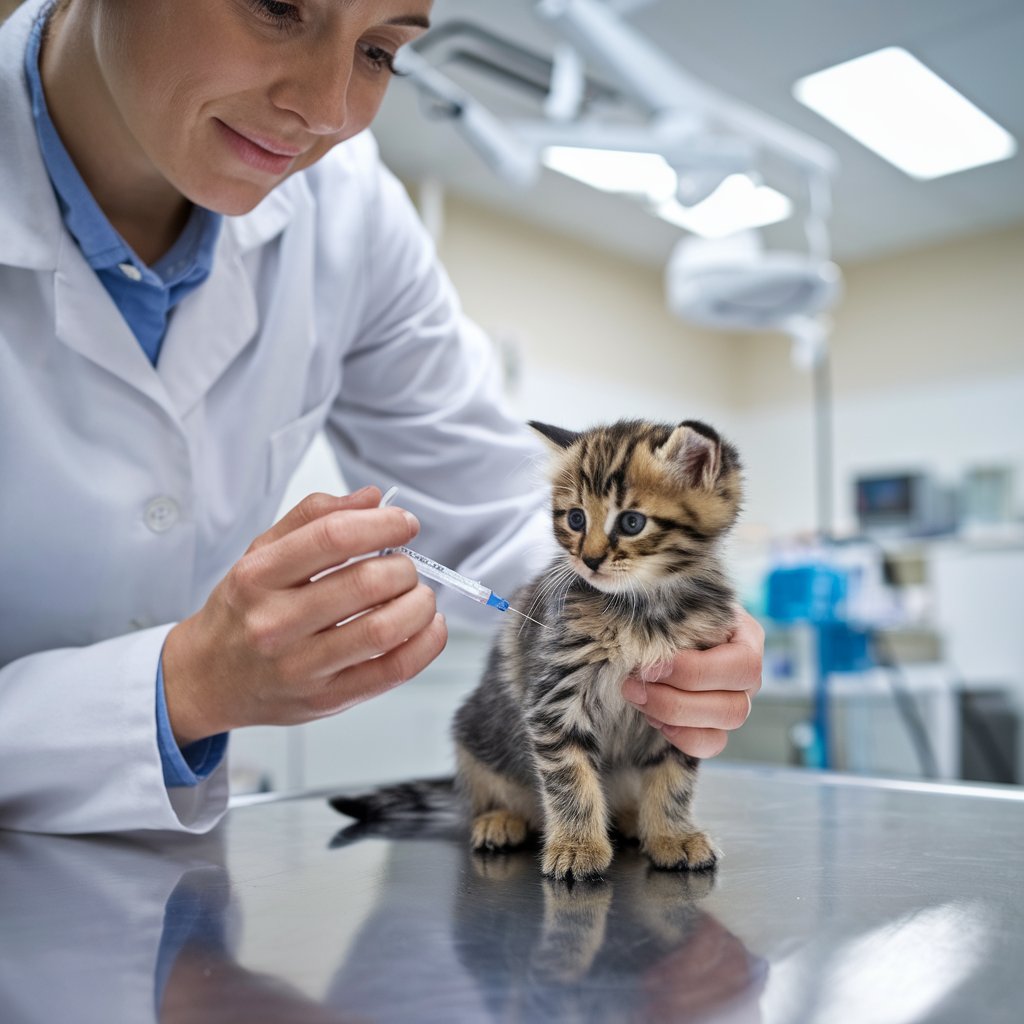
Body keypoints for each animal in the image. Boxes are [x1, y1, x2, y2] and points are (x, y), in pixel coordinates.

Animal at [331, 415, 741, 880]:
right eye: (576, 519)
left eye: (632, 523)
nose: (590, 560)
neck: (644, 611)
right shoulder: (556, 699)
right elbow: (570, 780)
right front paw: (578, 848)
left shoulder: (678, 712)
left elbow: (672, 780)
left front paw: (671, 835)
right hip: (474, 739)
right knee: (490, 796)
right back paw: (499, 820)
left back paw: (632, 819)